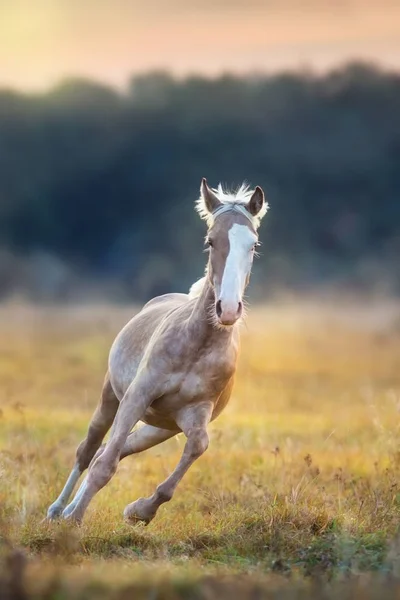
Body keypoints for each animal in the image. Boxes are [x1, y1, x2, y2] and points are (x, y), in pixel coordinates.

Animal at [47, 176, 268, 524]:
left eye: (254, 245)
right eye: (210, 241)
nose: (229, 309)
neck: (196, 345)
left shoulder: (196, 413)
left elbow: (197, 447)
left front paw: (139, 511)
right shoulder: (138, 396)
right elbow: (103, 466)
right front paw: (76, 521)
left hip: (158, 427)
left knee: (112, 449)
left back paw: (70, 509)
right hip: (111, 397)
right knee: (90, 449)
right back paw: (58, 510)